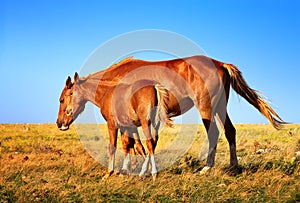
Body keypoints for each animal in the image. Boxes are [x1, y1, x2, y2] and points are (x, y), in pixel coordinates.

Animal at [88, 55, 284, 174]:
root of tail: (220, 64)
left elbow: (132, 142)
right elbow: (143, 142)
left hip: (207, 108)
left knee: (214, 133)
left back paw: (207, 168)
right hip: (220, 107)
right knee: (230, 131)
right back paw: (233, 167)